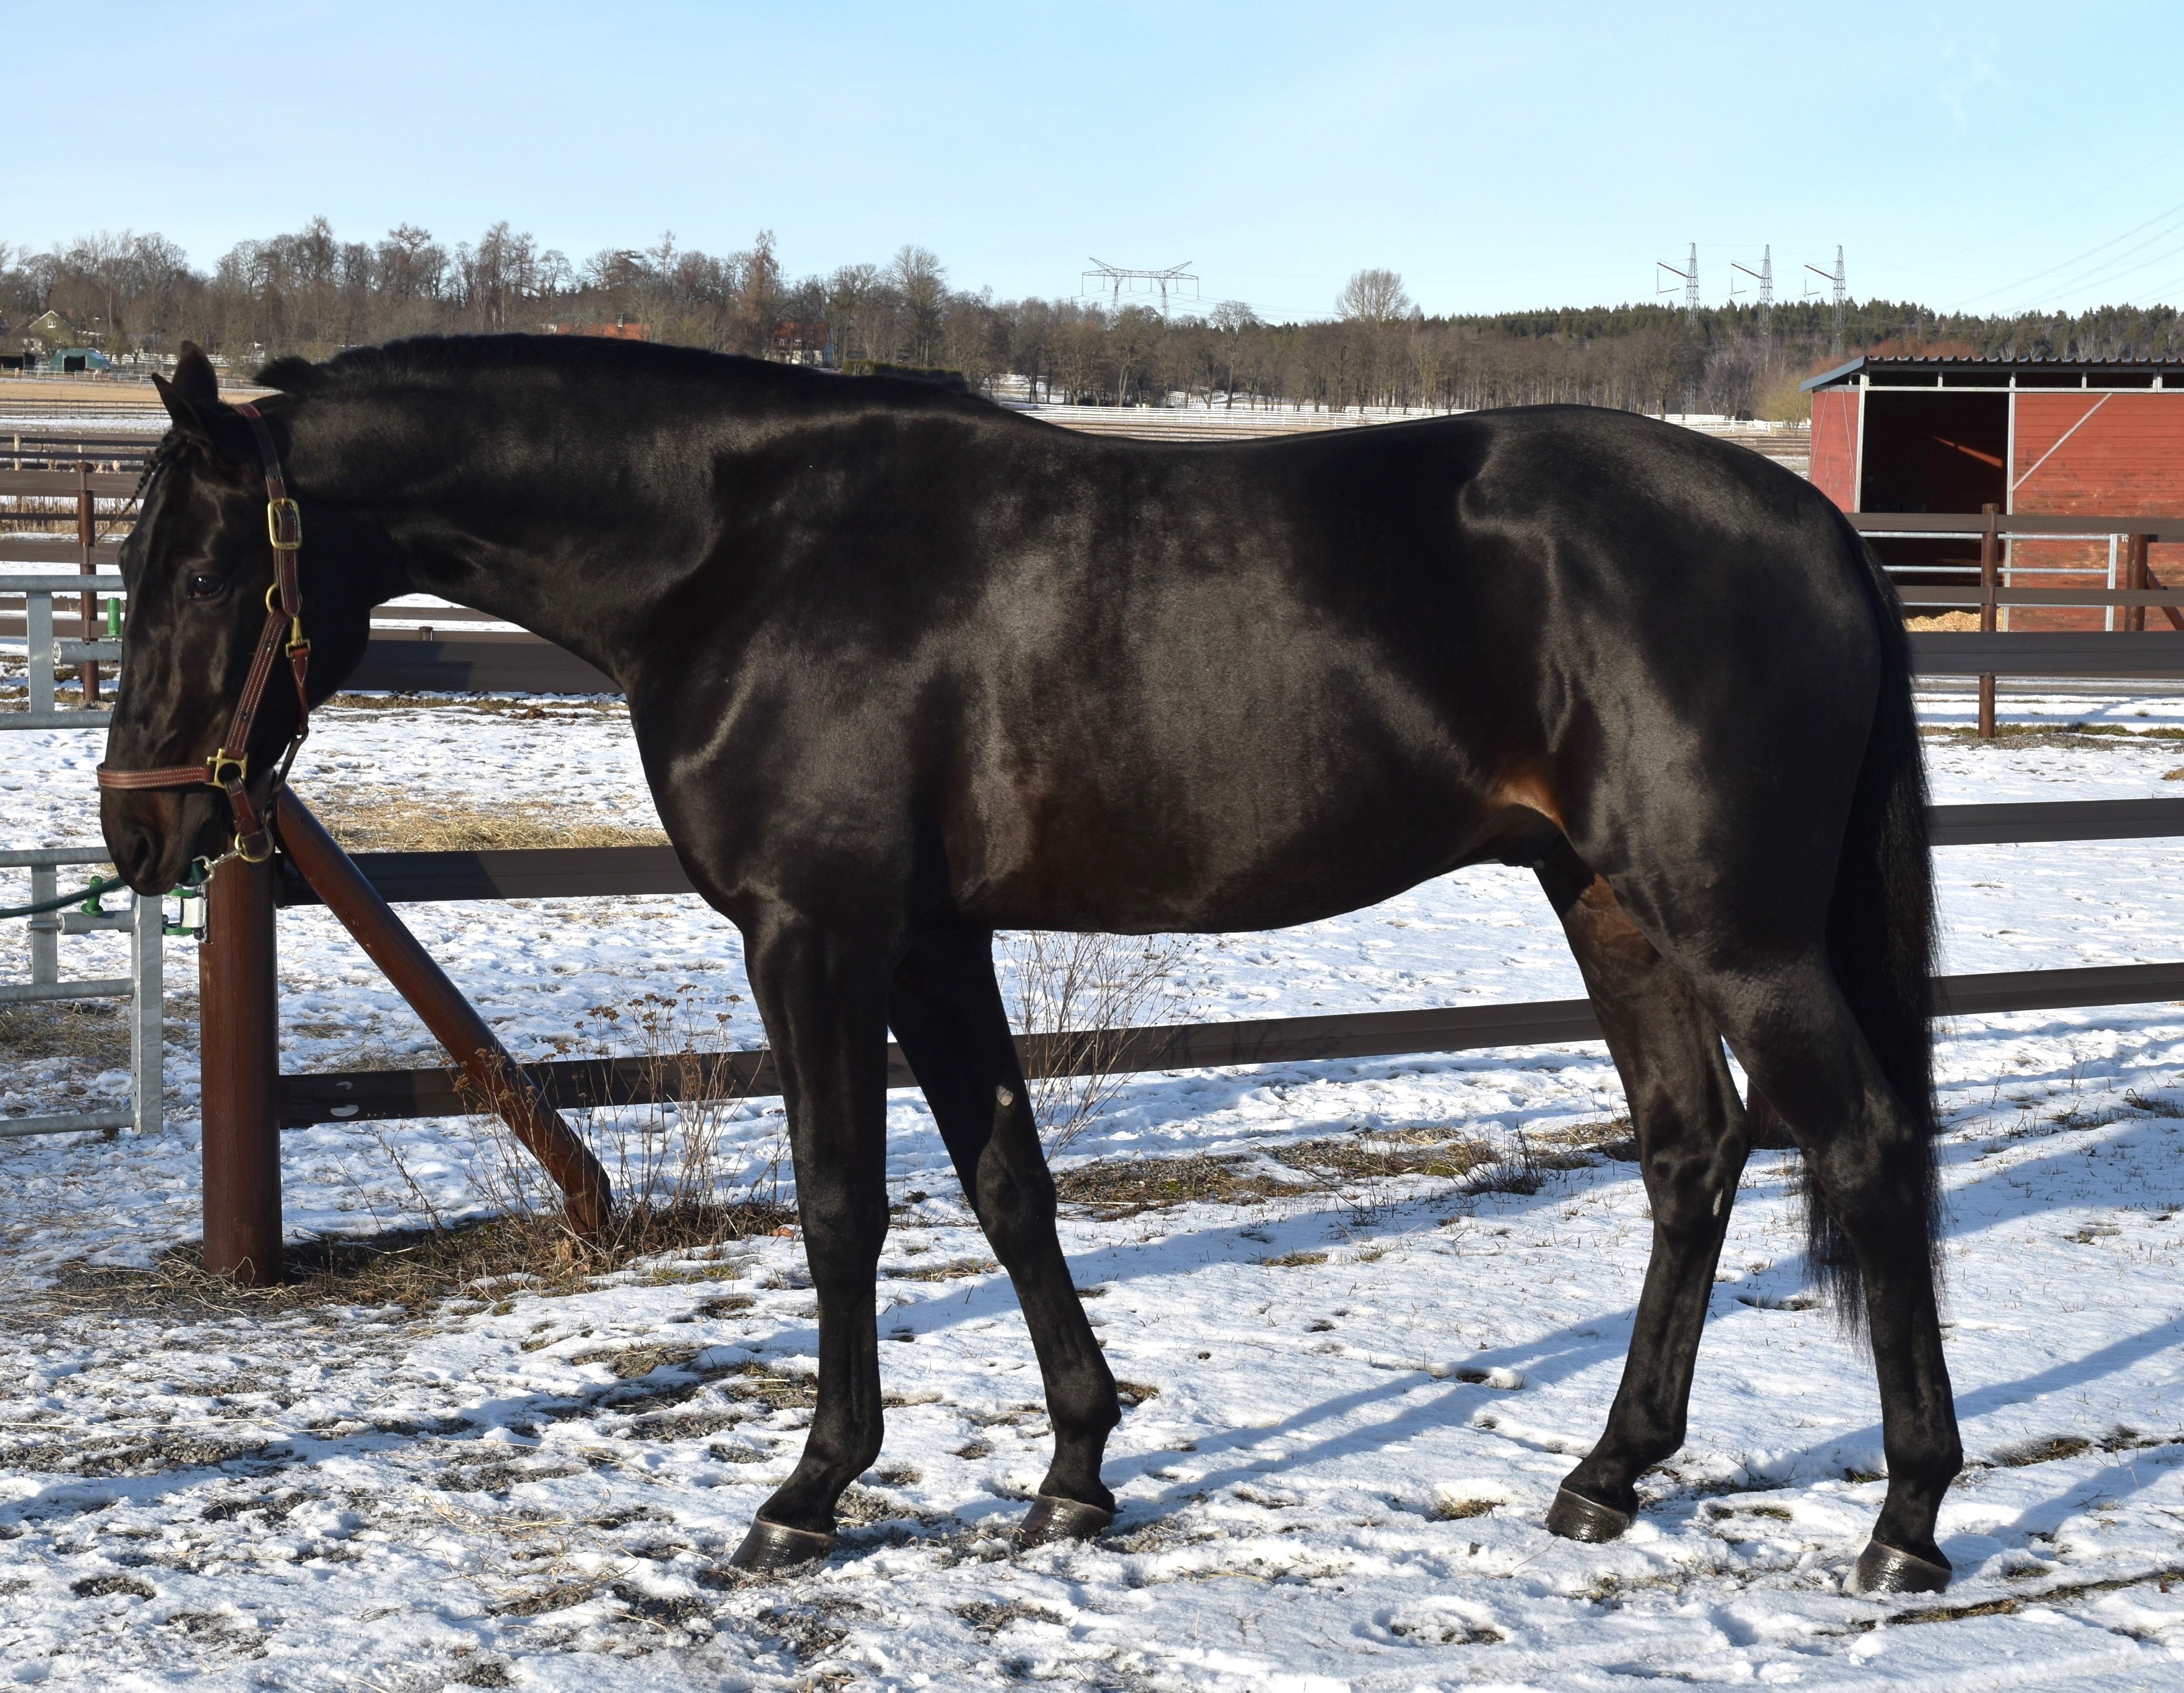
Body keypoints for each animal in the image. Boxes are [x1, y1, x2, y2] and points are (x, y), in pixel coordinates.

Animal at [94, 340, 1957, 1590]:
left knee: (1866, 1151)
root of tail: (1814, 525)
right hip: (1612, 902)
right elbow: (1007, 1184)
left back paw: (1905, 1521)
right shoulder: (933, 938)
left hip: (1737, 928)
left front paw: (808, 1493)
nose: (142, 828)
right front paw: (1072, 1474)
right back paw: (1609, 1473)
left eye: (204, 563)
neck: (740, 548)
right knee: (1690, 1153)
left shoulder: (817, 934)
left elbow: (842, 1203)